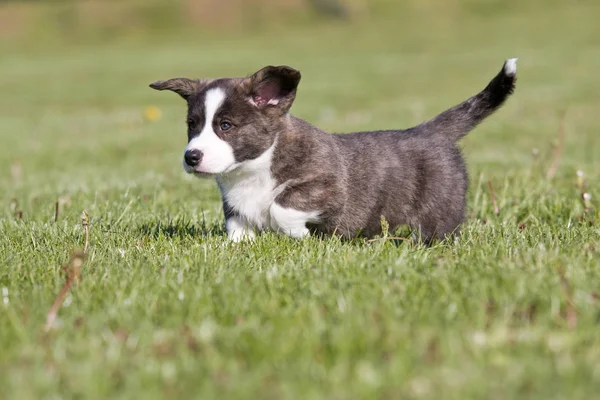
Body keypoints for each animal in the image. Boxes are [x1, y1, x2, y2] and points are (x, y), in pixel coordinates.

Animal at [150, 57, 516, 242]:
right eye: (192, 125)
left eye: (226, 126)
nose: (191, 157)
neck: (254, 169)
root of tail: (429, 130)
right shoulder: (234, 206)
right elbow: (238, 228)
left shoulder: (326, 186)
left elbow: (282, 206)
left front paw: (297, 234)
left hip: (439, 211)